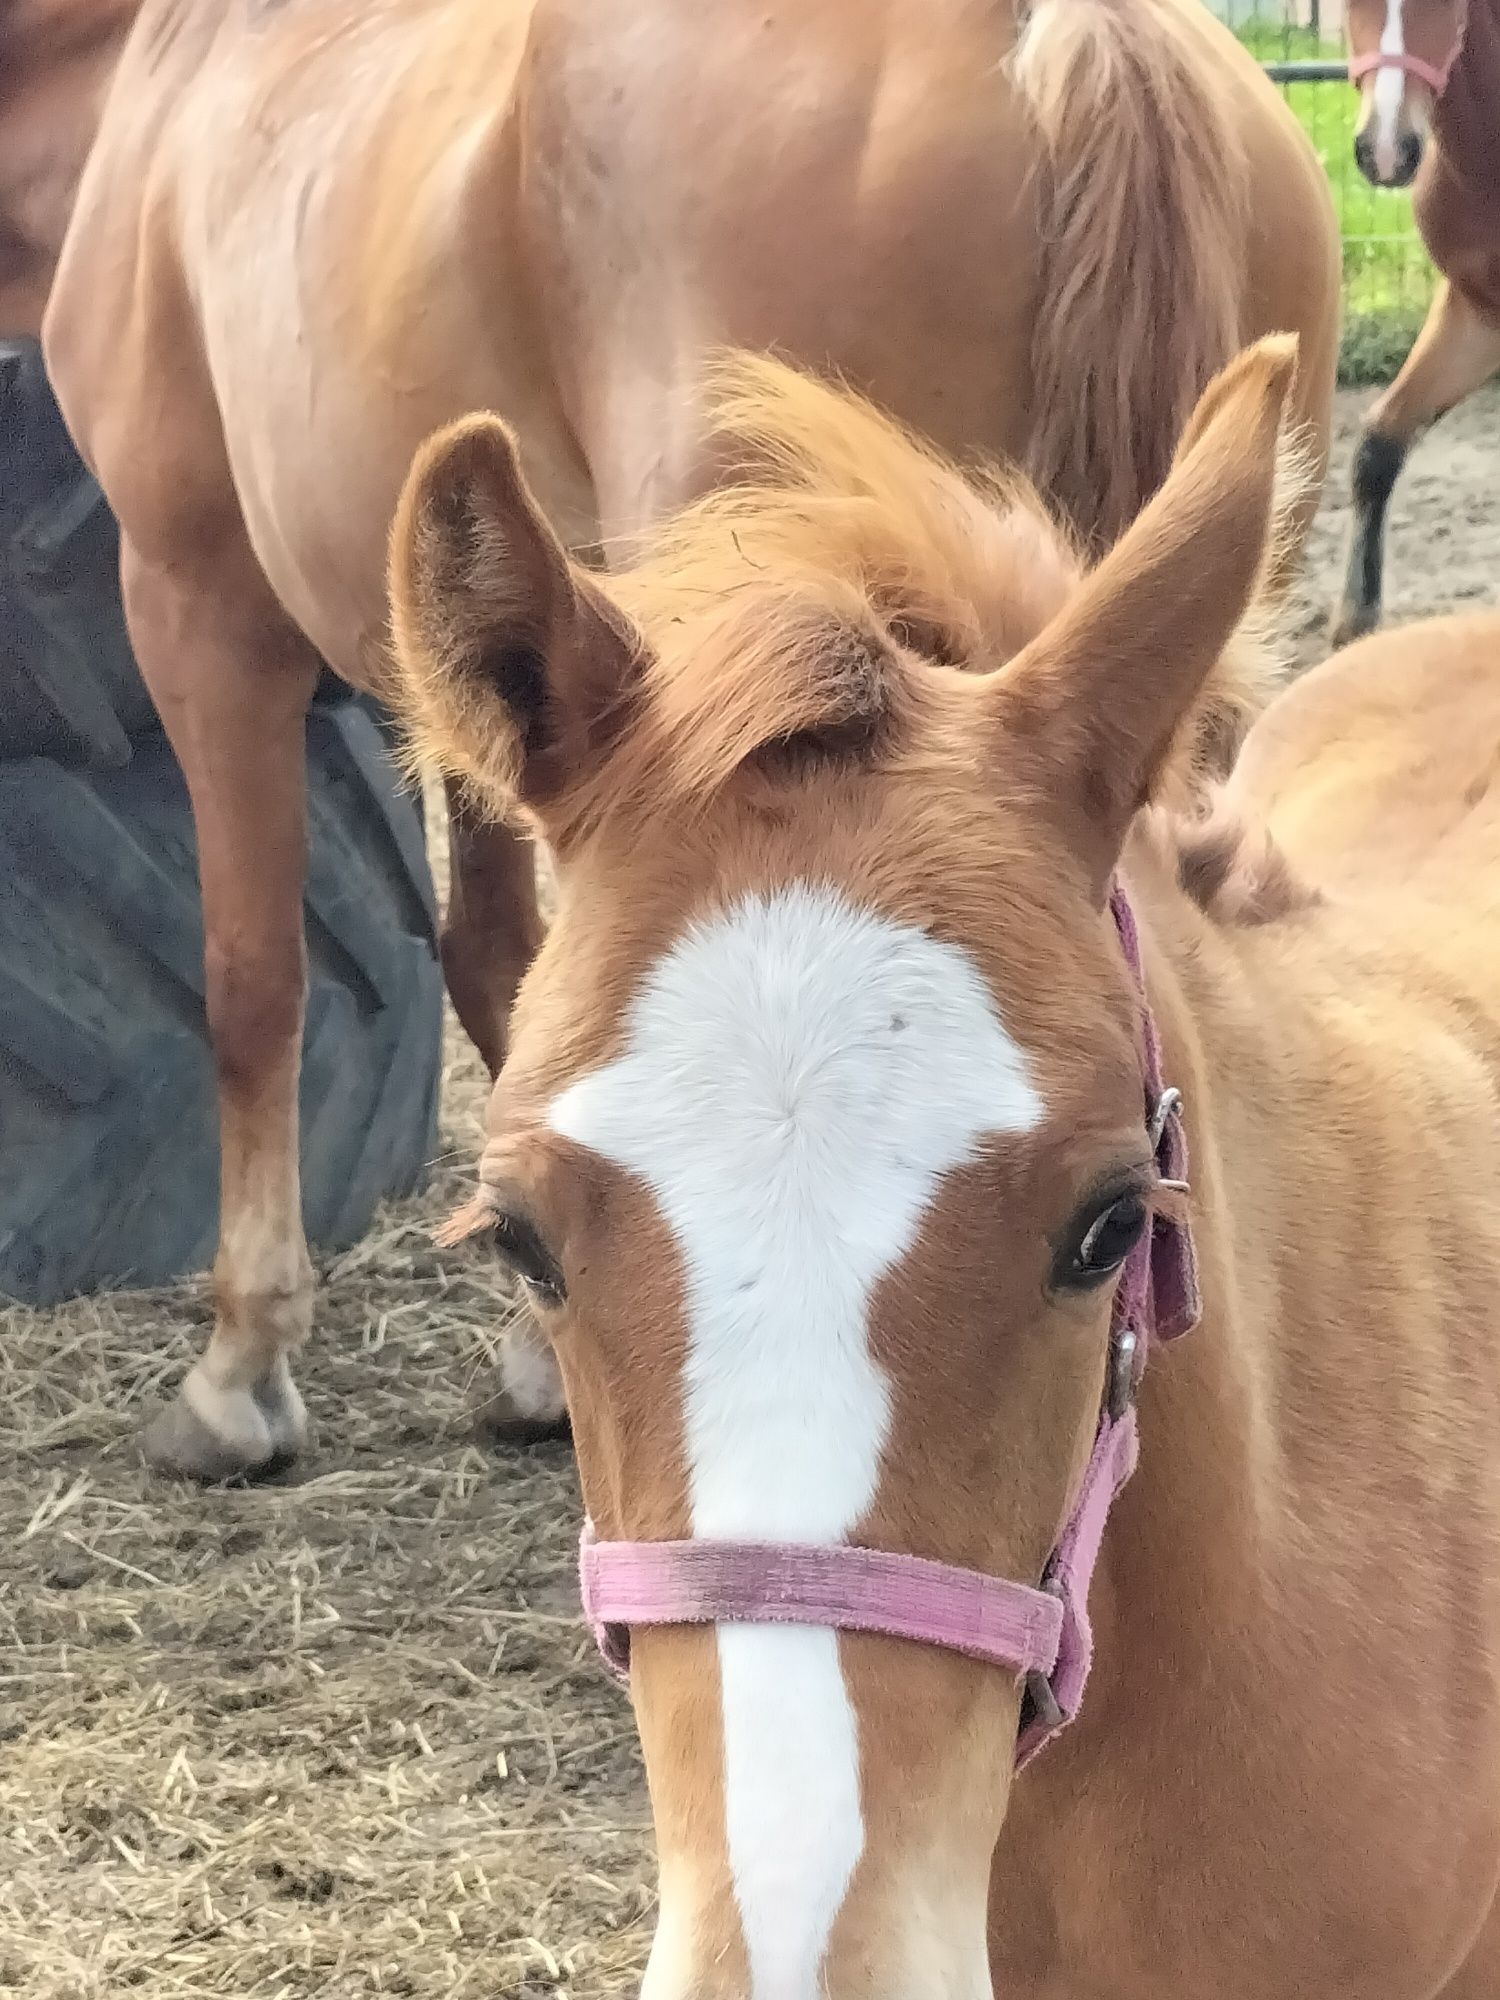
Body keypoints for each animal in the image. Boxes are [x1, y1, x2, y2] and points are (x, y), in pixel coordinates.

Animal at [2, 0, 1336, 1472]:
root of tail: (1078, 35)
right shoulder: (492, 687)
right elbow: (503, 967)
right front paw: (542, 1352)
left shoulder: (199, 614)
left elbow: (253, 985)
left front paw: (241, 1366)